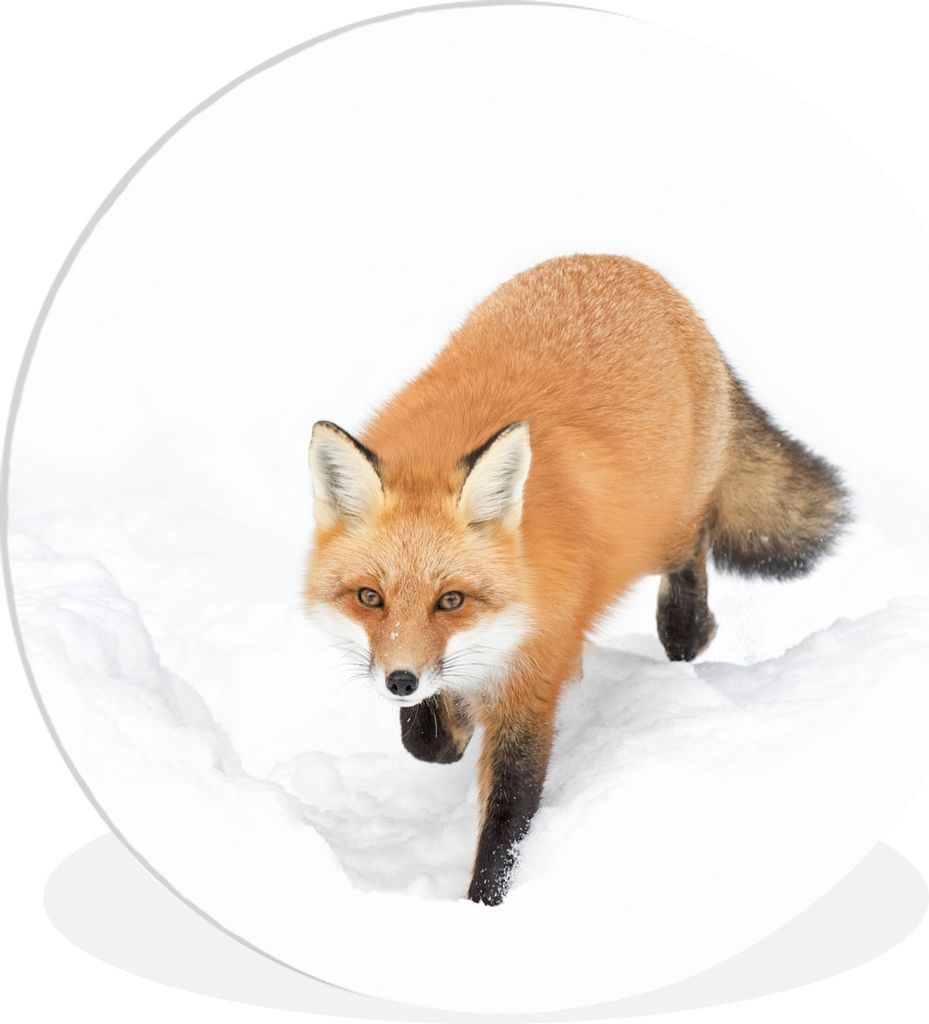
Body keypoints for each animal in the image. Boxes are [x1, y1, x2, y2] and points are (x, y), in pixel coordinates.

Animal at [304, 254, 849, 906]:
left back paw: (690, 628)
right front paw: (450, 723)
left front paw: (484, 908)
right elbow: (429, 740)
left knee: (696, 546)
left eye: (451, 600)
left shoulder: (535, 681)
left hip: (660, 530)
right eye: (370, 598)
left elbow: (509, 817)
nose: (400, 682)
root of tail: (624, 265)